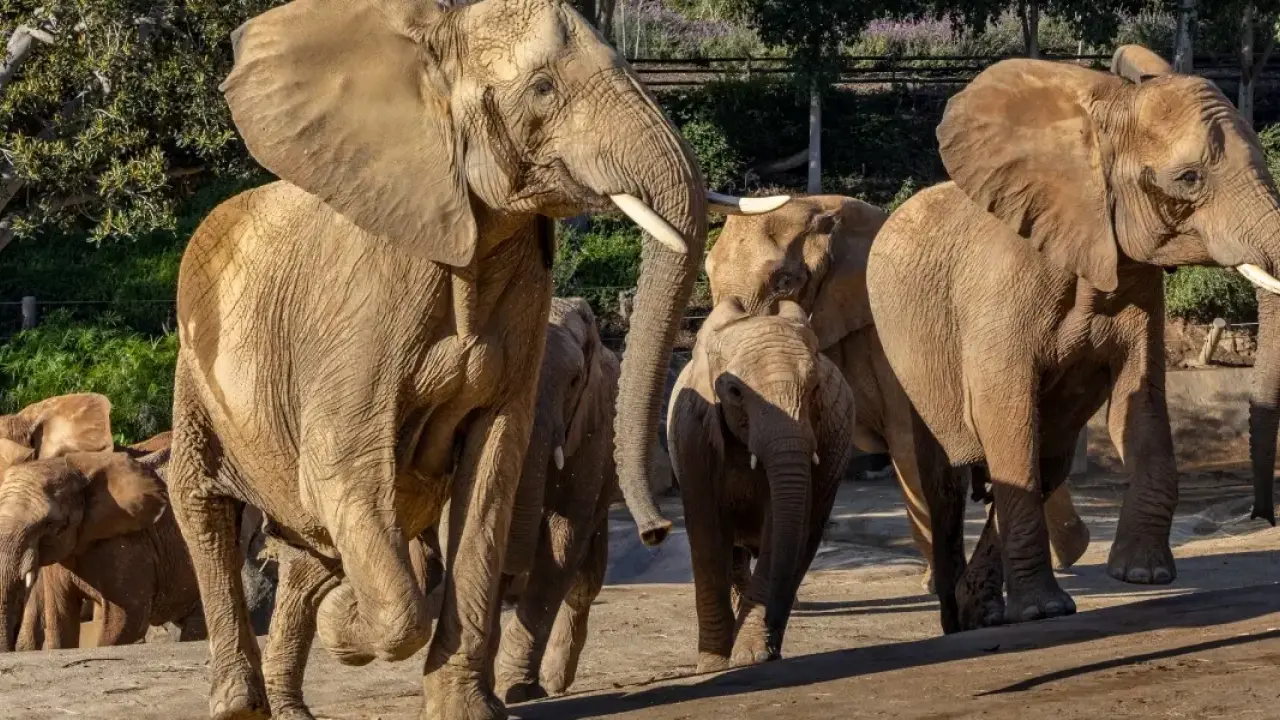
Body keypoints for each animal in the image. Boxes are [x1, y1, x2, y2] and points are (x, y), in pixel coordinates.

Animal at [167, 0, 785, 717]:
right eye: (542, 89)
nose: (657, 532)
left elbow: (491, 472)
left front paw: (461, 708)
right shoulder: (361, 308)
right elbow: (341, 468)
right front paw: (349, 624)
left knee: (306, 546)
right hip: (194, 373)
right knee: (206, 510)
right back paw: (243, 703)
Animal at [667, 298, 855, 672]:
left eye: (815, 389)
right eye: (735, 392)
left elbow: (779, 530)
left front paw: (750, 656)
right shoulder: (692, 433)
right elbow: (707, 535)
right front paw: (713, 665)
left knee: (803, 543)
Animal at [706, 194, 1093, 589]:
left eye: (784, 282)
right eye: (706, 273)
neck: (819, 206)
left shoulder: (895, 342)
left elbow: (910, 447)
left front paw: (934, 585)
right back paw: (1069, 553)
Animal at [866, 45, 1280, 634]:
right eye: (1189, 177)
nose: (1260, 516)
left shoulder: (1135, 278)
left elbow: (1139, 400)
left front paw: (1143, 575)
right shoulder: (1001, 286)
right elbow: (1005, 410)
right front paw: (1044, 611)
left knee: (1047, 463)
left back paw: (981, 611)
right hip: (898, 356)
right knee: (941, 482)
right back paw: (958, 620)